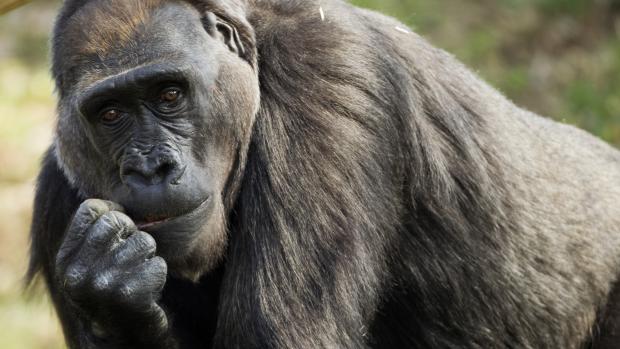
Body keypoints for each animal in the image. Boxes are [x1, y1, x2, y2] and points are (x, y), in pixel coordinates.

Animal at [26, 0, 620, 346]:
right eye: (110, 114)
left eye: (170, 94)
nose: (150, 166)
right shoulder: (58, 199)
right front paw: (110, 294)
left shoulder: (326, 83)